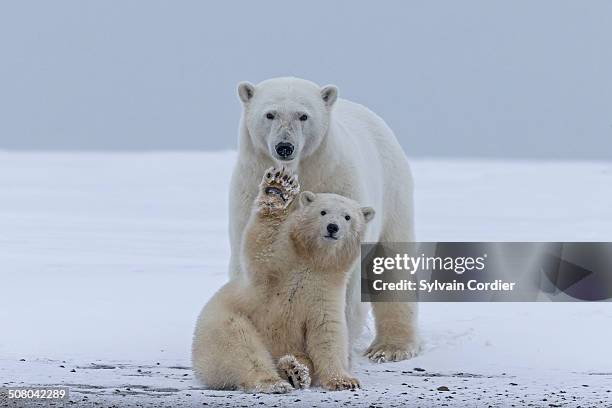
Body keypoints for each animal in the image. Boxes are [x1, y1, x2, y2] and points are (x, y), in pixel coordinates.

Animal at [227, 77, 418, 364]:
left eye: (303, 115)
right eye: (270, 114)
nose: (285, 147)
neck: (299, 170)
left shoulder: (336, 182)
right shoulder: (248, 189)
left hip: (394, 190)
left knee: (393, 259)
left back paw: (391, 347)